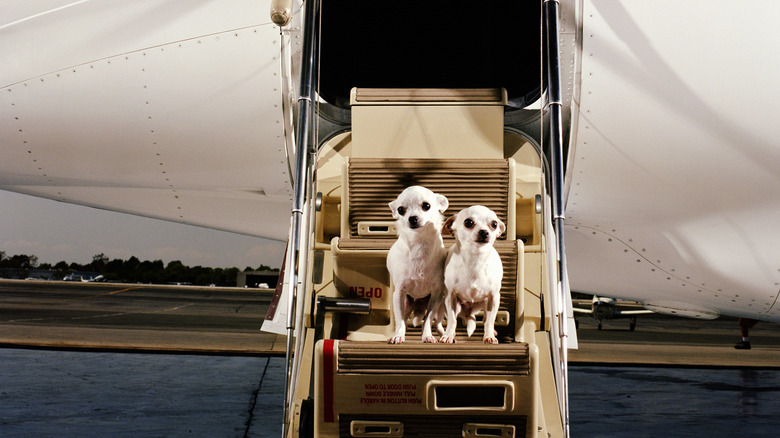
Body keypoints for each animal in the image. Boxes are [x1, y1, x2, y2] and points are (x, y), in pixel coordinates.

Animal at [386, 185, 448, 342]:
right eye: (401, 209)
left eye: (426, 206)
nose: (412, 218)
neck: (419, 244)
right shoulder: (399, 293)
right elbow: (400, 321)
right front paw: (398, 336)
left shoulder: (436, 295)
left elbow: (428, 320)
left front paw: (427, 336)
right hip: (406, 304)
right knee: (403, 319)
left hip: (441, 305)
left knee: (436, 323)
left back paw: (444, 336)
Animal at [438, 205, 506, 346]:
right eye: (468, 222)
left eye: (494, 224)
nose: (484, 232)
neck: (475, 260)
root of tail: (469, 313)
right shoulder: (450, 296)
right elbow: (452, 320)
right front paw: (448, 336)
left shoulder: (494, 297)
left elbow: (490, 321)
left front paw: (489, 336)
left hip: (486, 304)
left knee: (486, 319)